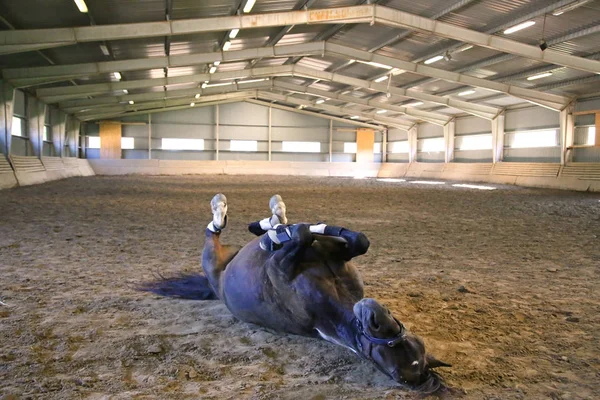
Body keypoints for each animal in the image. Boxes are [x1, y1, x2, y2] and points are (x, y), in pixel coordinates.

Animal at [141, 194, 450, 394]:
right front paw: (277, 225)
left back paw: (228, 210)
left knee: (212, 233)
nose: (373, 313)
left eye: (398, 367)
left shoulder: (280, 266)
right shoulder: (336, 250)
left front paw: (276, 232)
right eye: (413, 339)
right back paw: (269, 217)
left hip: (212, 261)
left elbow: (301, 235)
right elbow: (354, 239)